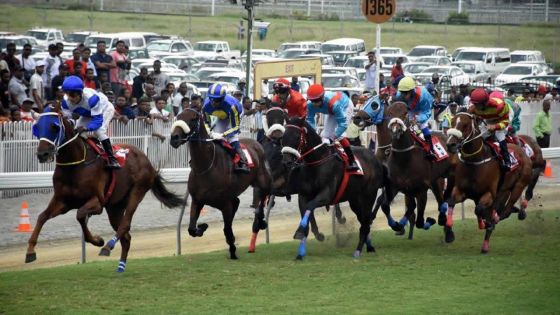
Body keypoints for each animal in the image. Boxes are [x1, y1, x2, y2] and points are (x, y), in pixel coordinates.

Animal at [29, 108, 183, 272]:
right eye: (36, 128)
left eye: (54, 127)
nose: (42, 154)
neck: (75, 165)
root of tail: (147, 160)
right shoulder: (63, 201)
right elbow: (42, 216)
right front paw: (30, 251)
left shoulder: (97, 202)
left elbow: (80, 214)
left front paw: (98, 241)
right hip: (115, 207)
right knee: (126, 236)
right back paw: (120, 266)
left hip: (137, 191)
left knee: (125, 224)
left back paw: (108, 246)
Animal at [170, 108, 272, 260]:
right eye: (178, 117)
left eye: (193, 119)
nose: (174, 138)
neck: (205, 166)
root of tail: (257, 143)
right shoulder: (197, 200)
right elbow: (192, 229)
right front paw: (203, 227)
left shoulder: (225, 203)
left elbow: (227, 229)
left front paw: (233, 251)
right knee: (240, 202)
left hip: (262, 180)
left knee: (263, 196)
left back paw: (260, 221)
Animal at [444, 112, 532, 253]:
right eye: (452, 122)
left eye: (465, 125)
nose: (450, 145)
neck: (475, 161)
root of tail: (522, 151)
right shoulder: (461, 190)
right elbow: (451, 201)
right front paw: (449, 227)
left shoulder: (489, 194)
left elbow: (479, 209)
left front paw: (485, 223)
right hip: (503, 191)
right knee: (497, 210)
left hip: (518, 186)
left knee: (505, 210)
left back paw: (492, 227)